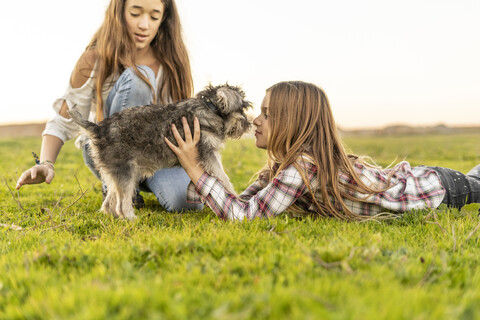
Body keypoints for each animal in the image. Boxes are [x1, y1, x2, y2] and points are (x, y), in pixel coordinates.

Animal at [70, 84, 255, 220]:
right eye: (242, 109)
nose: (249, 124)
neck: (210, 109)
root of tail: (99, 129)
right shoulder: (209, 154)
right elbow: (223, 177)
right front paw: (236, 196)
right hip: (126, 172)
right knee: (121, 204)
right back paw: (131, 219)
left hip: (118, 173)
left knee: (110, 201)